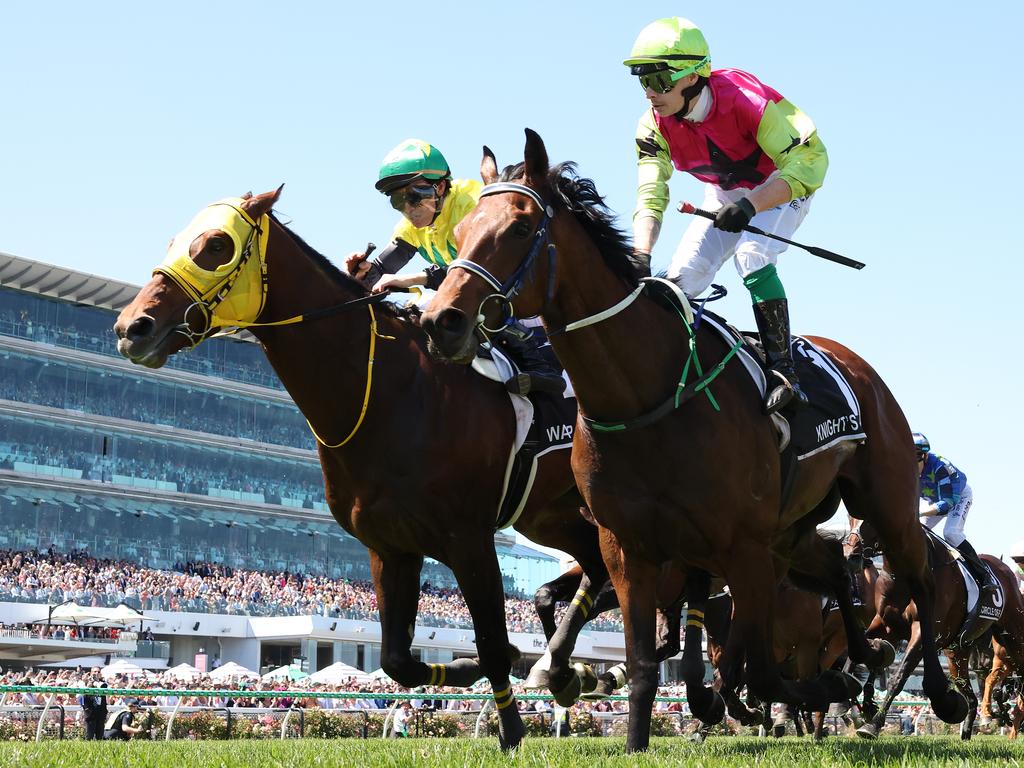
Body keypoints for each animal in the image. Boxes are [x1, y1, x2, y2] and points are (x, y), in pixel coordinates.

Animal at [111, 188, 610, 753]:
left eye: (216, 244)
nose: (132, 327)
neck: (393, 392)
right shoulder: (390, 547)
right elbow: (399, 662)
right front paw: (485, 670)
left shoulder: (469, 540)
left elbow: (489, 641)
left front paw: (512, 729)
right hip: (549, 515)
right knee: (591, 572)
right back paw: (571, 667)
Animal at [419, 131, 962, 753]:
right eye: (461, 229)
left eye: (519, 227)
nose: (442, 321)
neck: (643, 396)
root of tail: (854, 363)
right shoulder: (628, 547)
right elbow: (652, 660)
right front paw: (630, 729)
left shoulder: (739, 547)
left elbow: (755, 668)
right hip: (791, 533)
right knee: (833, 570)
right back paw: (858, 658)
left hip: (884, 504)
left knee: (918, 581)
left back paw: (935, 691)